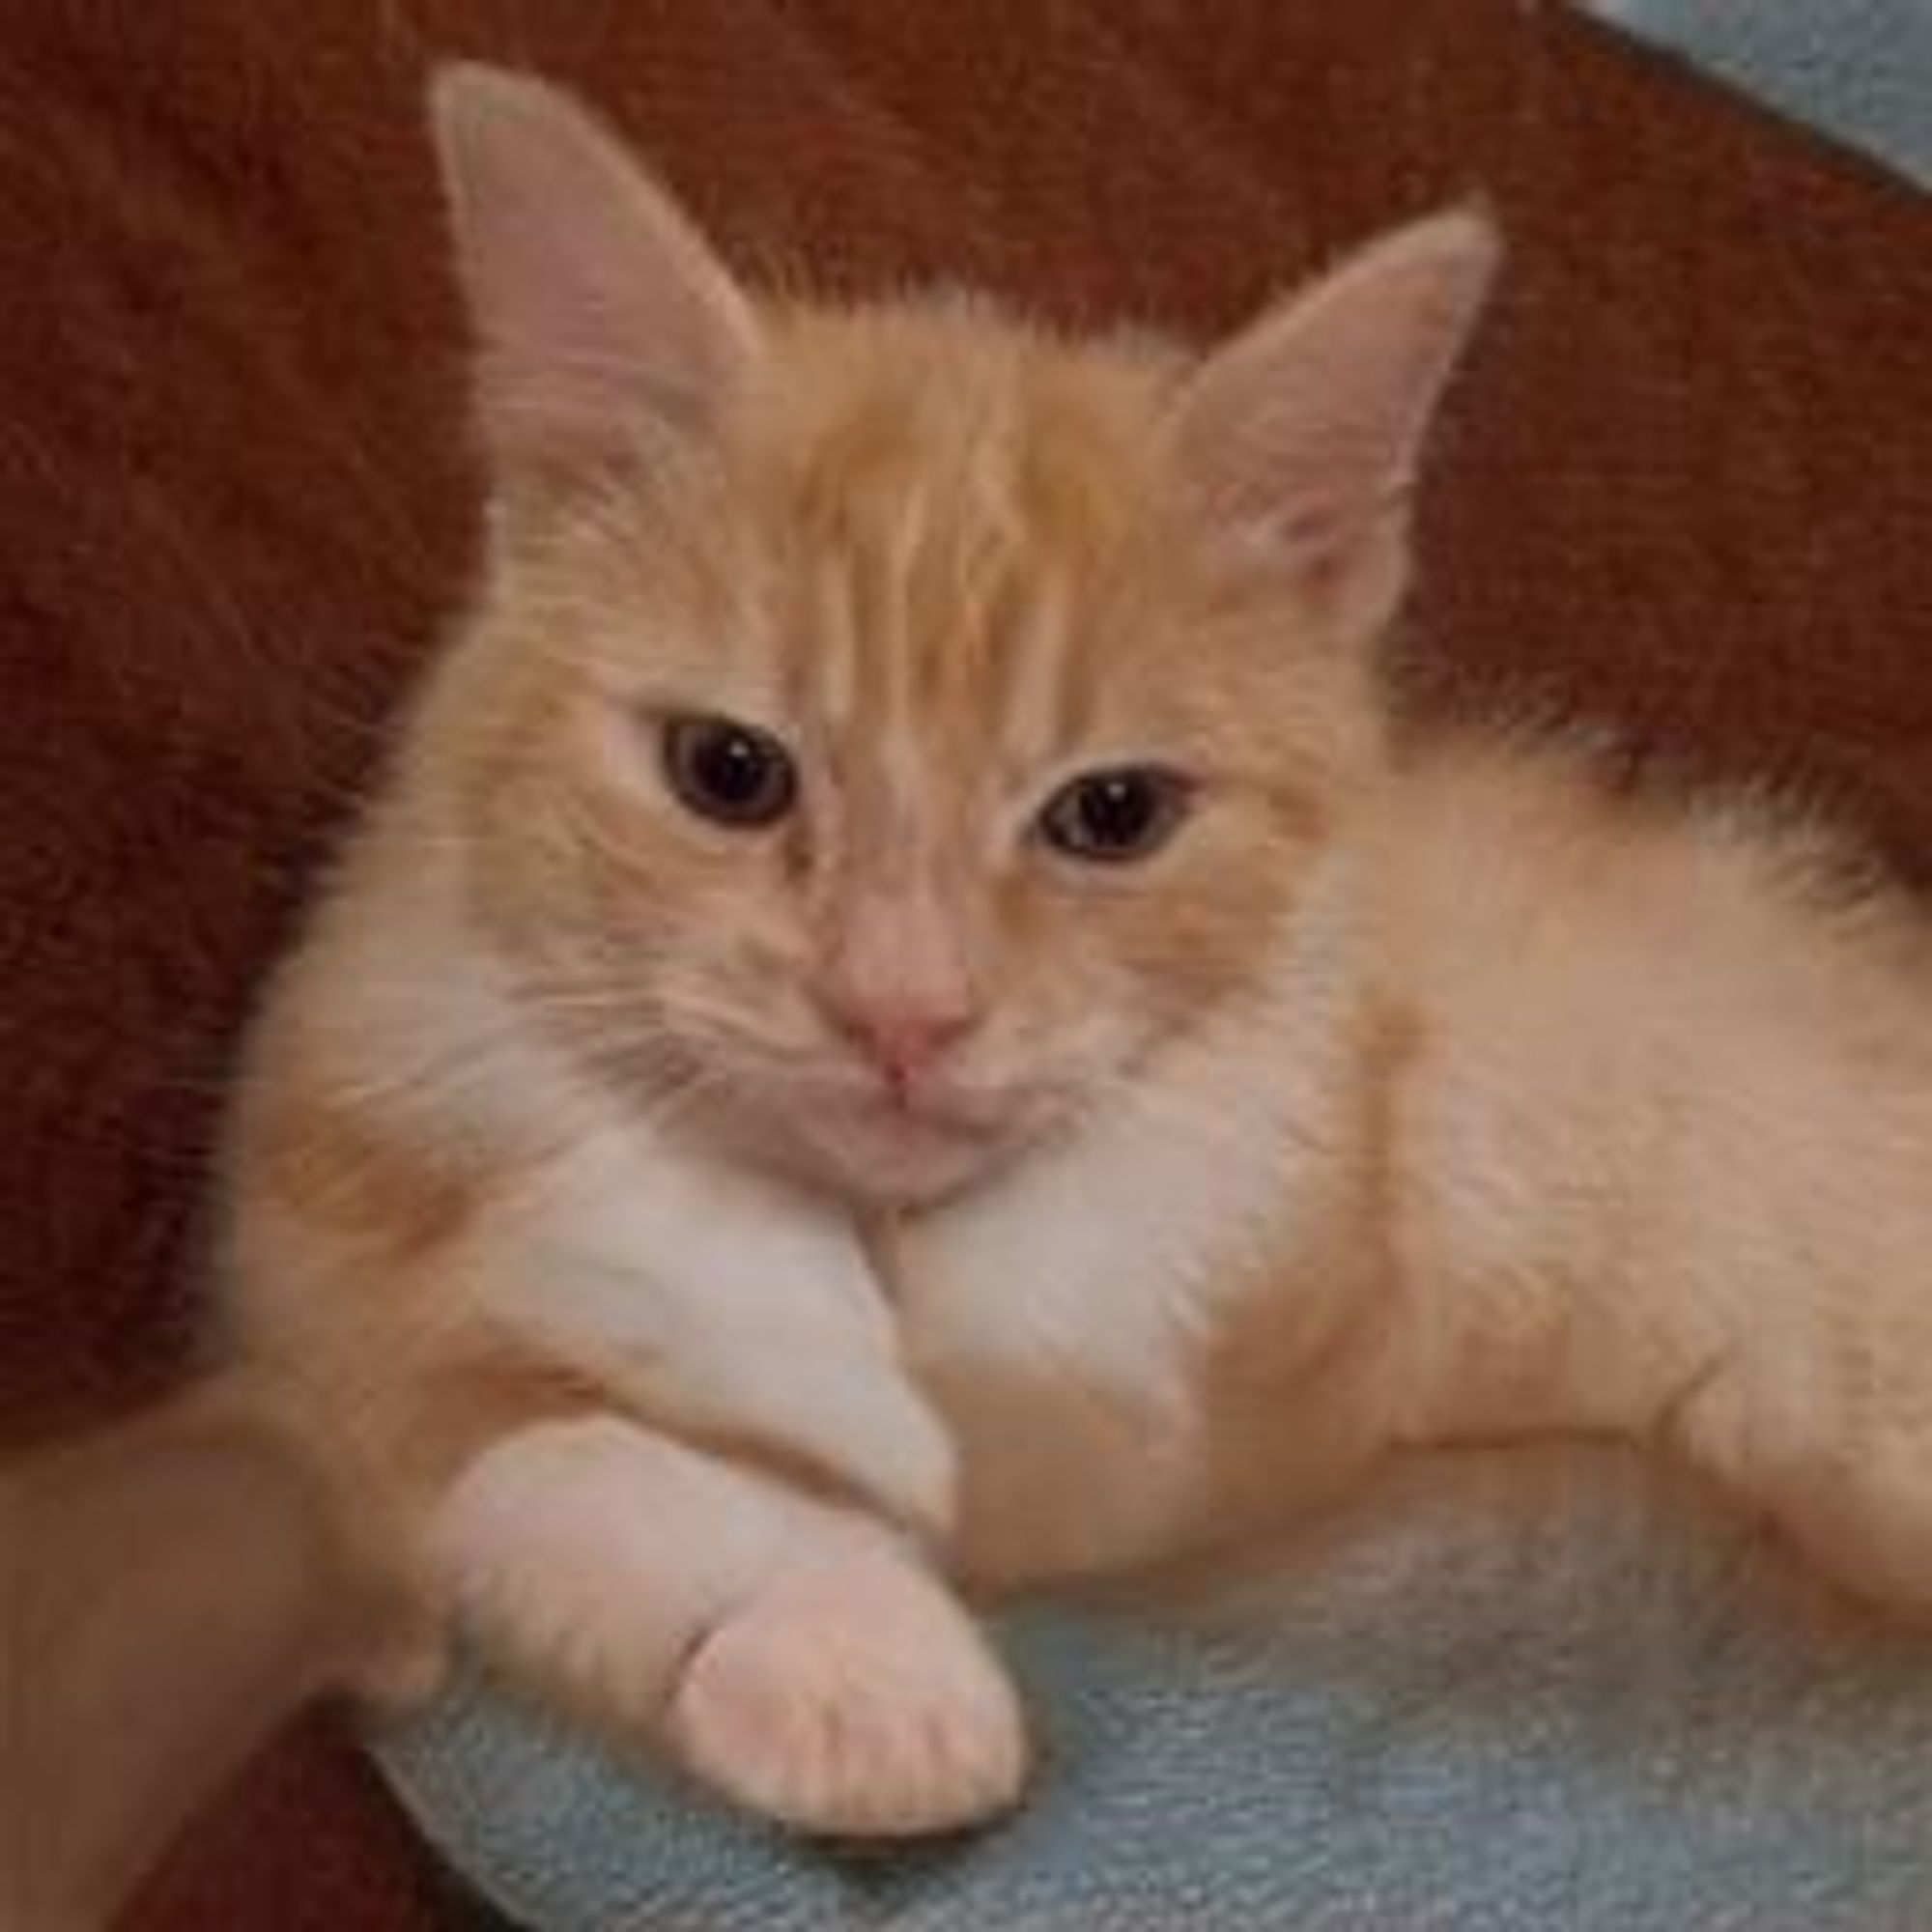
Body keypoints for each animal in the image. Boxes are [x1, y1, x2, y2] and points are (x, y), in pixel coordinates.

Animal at [219, 64, 1932, 1839]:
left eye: (1112, 814)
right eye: (727, 771)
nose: (904, 1012)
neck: (898, 1253)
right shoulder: (319, 1275)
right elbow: (548, 1456)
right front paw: (858, 1665)